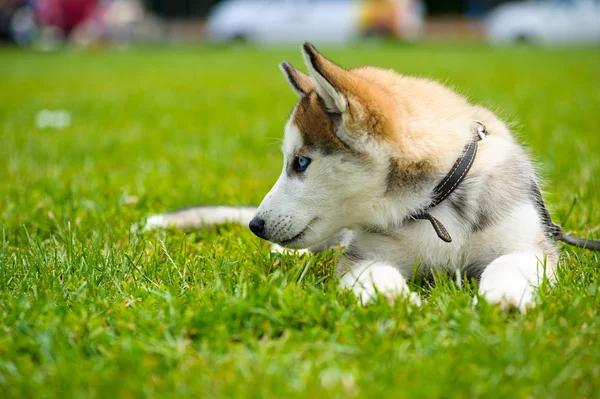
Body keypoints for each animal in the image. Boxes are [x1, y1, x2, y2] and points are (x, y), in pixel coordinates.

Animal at [146, 43, 600, 312]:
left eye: (301, 163)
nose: (255, 225)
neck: (433, 206)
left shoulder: (531, 244)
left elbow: (510, 263)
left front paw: (504, 297)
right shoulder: (363, 256)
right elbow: (374, 275)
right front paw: (399, 302)